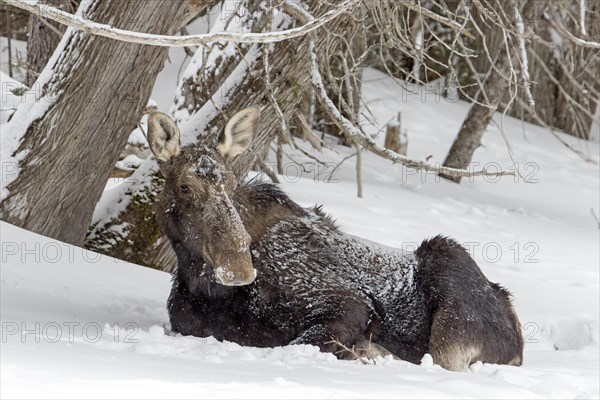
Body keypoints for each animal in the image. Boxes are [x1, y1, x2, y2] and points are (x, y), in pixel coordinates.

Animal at [148, 107, 524, 372]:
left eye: (231, 183)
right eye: (184, 187)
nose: (238, 267)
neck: (205, 286)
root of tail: (516, 330)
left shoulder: (350, 304)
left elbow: (301, 343)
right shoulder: (185, 323)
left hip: (448, 285)